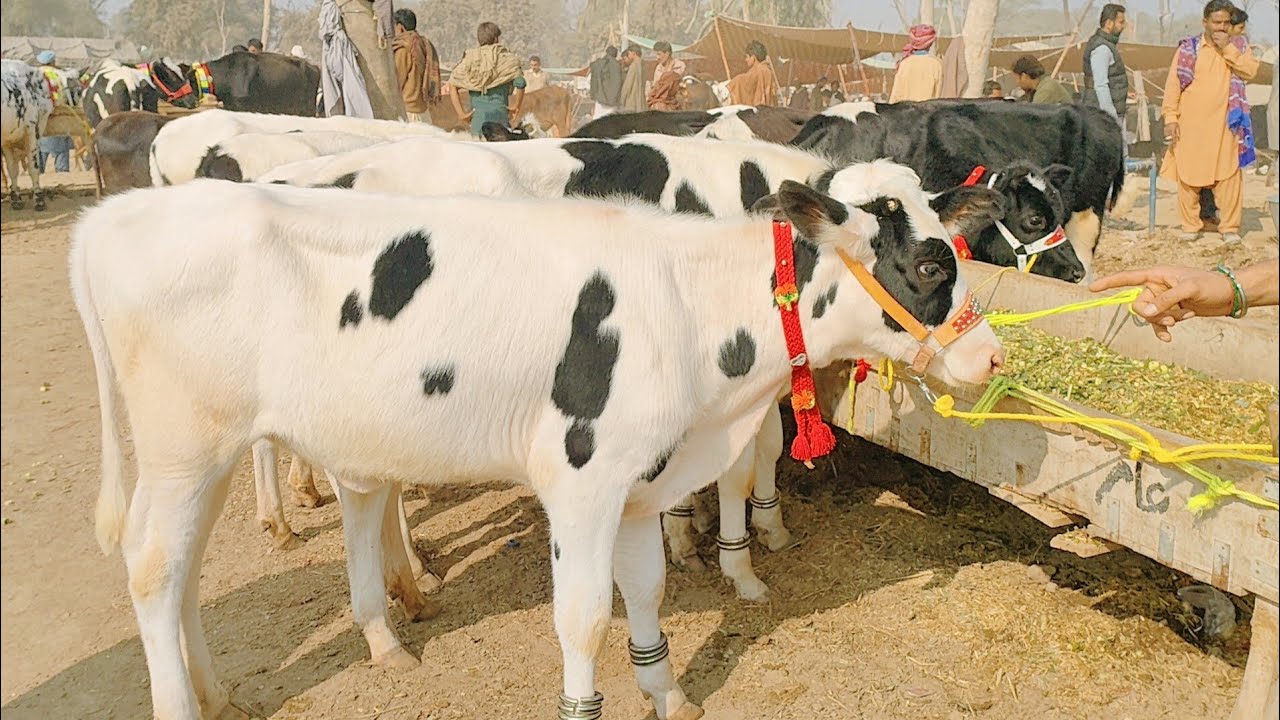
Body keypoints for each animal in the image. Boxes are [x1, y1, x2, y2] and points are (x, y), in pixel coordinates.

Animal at [2, 59, 53, 210]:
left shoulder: (11, 137)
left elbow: (14, 169)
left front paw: (17, 199)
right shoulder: (31, 130)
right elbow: (32, 167)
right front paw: (39, 198)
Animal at [72, 172, 1003, 720]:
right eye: (930, 266)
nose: (993, 357)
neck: (686, 304)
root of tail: (112, 214)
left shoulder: (638, 480)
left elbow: (647, 592)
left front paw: (667, 691)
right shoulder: (581, 481)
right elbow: (583, 617)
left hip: (202, 456)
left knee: (182, 569)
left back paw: (218, 693)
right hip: (186, 447)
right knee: (153, 568)